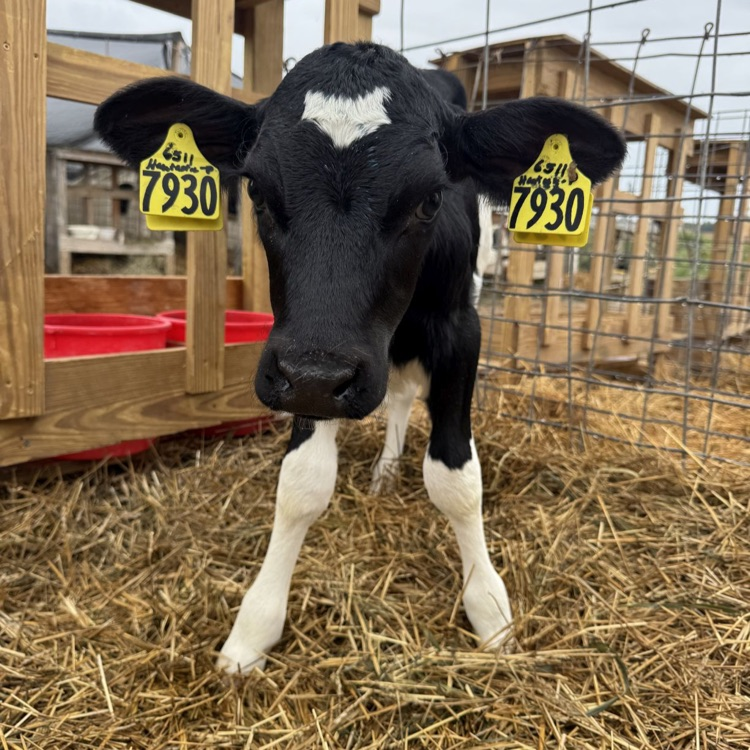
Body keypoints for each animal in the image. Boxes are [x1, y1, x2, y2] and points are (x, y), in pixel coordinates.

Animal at [94, 41, 625, 675]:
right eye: (255, 190)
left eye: (431, 197)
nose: (320, 377)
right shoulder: (299, 356)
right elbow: (301, 483)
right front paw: (254, 627)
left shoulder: (458, 331)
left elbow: (455, 477)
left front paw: (490, 608)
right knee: (397, 394)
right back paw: (384, 473)